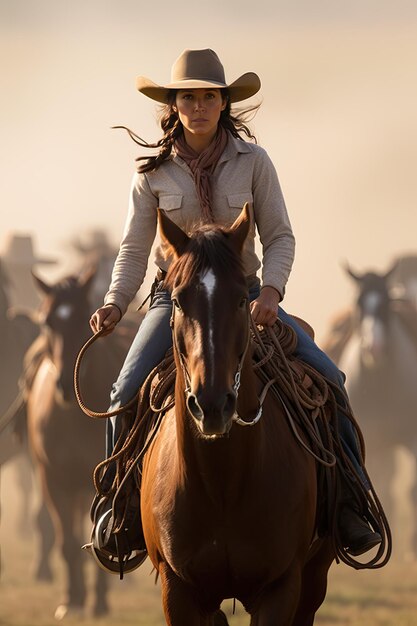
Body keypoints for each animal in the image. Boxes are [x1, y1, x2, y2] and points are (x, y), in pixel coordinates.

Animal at [26, 266, 139, 616]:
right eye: (47, 322)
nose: (64, 383)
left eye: (80, 319)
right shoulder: (53, 480)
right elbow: (65, 541)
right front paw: (71, 600)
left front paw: (99, 601)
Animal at [141, 207, 334, 624]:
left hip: (315, 577)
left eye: (243, 300)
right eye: (178, 301)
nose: (212, 403)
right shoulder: (178, 590)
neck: (223, 484)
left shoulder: (282, 587)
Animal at [322, 260, 416, 560]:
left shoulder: (411, 438)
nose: (373, 348)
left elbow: (410, 491)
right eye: (359, 303)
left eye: (386, 302)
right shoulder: (371, 442)